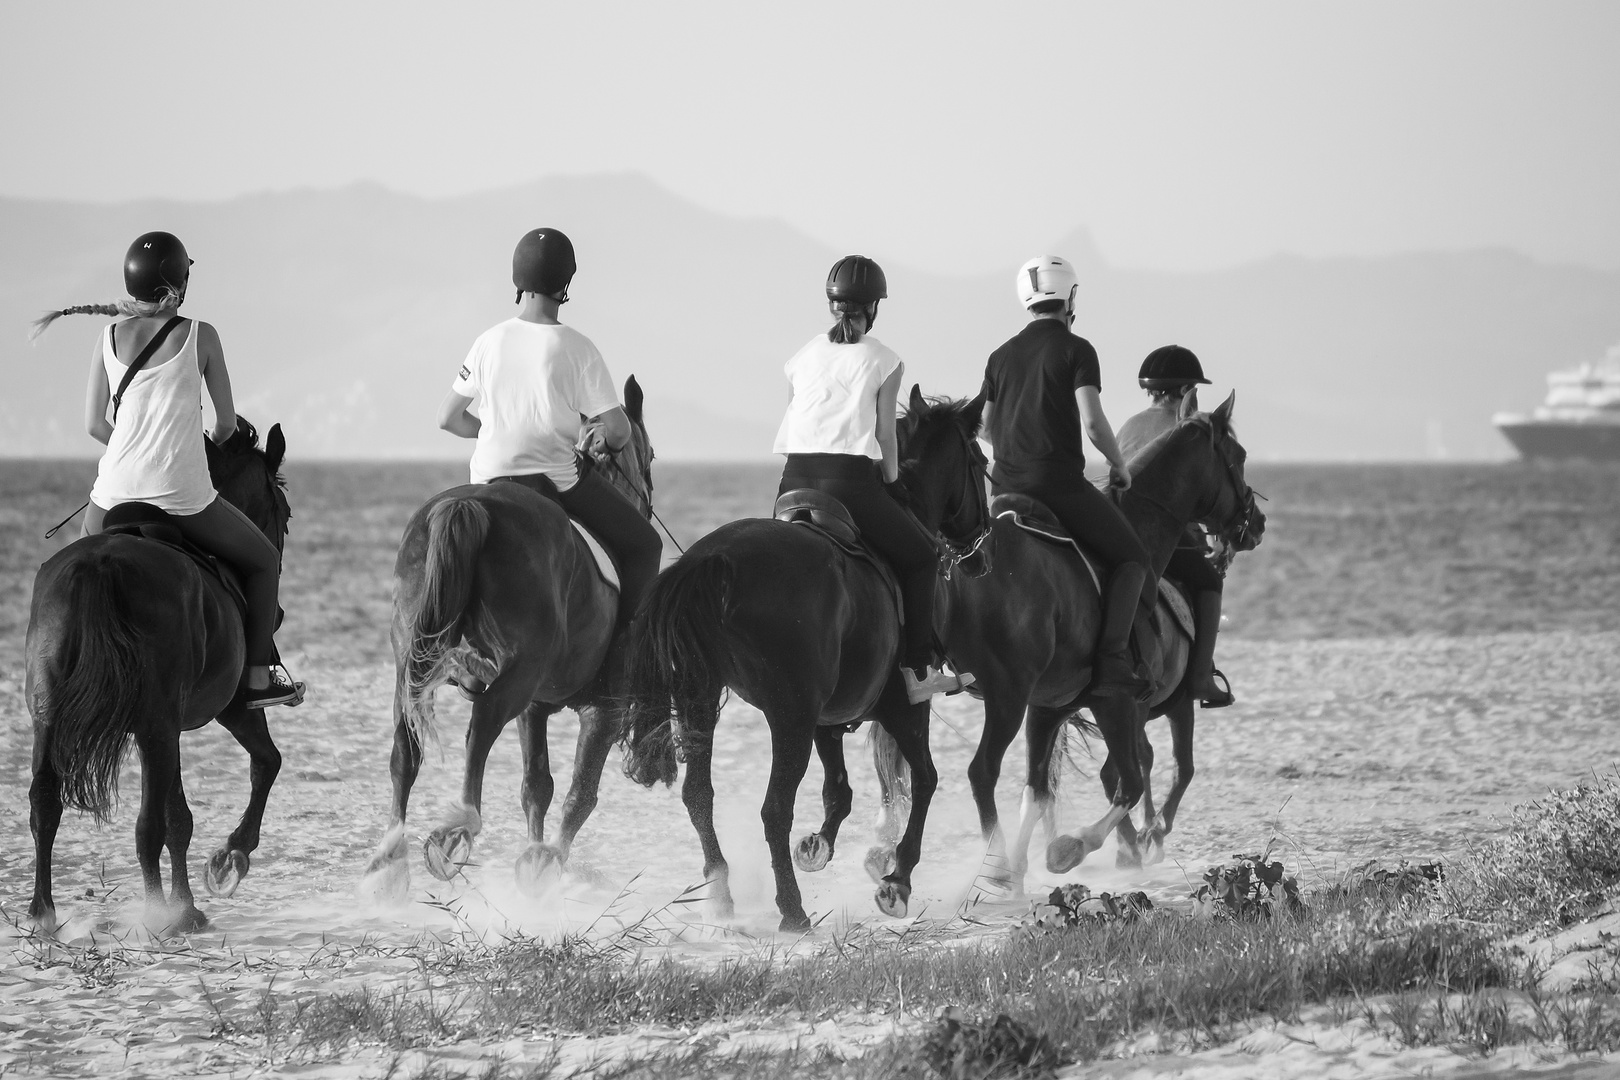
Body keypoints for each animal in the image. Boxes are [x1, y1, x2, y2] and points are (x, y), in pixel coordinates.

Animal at [28, 420, 294, 939]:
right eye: (285, 514)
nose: (276, 614)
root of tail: (102, 563)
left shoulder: (170, 725)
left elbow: (179, 816)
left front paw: (190, 897)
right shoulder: (229, 709)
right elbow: (265, 764)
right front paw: (228, 860)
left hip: (53, 713)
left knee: (44, 802)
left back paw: (43, 913)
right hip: (158, 727)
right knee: (146, 824)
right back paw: (158, 916)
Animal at [359, 375, 651, 900]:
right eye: (652, 456)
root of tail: (468, 505)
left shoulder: (535, 706)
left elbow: (537, 787)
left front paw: (535, 858)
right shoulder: (603, 709)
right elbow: (579, 793)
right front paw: (548, 861)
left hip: (414, 662)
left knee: (404, 748)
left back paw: (390, 859)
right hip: (516, 671)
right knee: (481, 725)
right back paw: (459, 827)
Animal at [618, 390, 984, 939]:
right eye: (980, 462)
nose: (980, 548)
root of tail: (714, 560)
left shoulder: (826, 717)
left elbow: (839, 790)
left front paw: (820, 846)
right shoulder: (902, 707)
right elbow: (925, 780)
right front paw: (897, 881)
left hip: (704, 697)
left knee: (699, 795)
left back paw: (722, 897)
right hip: (787, 715)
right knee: (774, 808)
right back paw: (792, 911)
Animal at [933, 393, 1257, 893]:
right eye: (1238, 457)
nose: (1256, 522)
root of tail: (968, 559)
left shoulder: (1050, 706)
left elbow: (1038, 789)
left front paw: (1027, 864)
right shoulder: (1125, 702)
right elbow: (1142, 777)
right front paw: (1078, 847)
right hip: (1008, 695)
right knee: (983, 770)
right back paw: (997, 865)